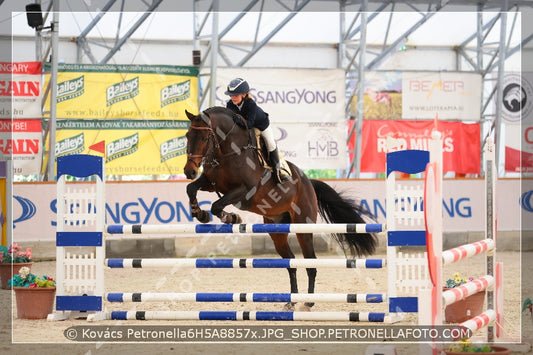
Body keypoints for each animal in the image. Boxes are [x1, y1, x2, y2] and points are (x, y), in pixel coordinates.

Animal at [183, 106, 378, 312]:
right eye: (187, 135)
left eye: (205, 138)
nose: (189, 171)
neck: (228, 151)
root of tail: (309, 183)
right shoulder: (211, 182)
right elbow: (191, 189)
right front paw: (199, 213)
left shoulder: (244, 191)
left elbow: (217, 205)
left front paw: (232, 218)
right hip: (277, 231)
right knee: (291, 262)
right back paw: (291, 301)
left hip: (303, 227)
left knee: (310, 262)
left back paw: (308, 302)